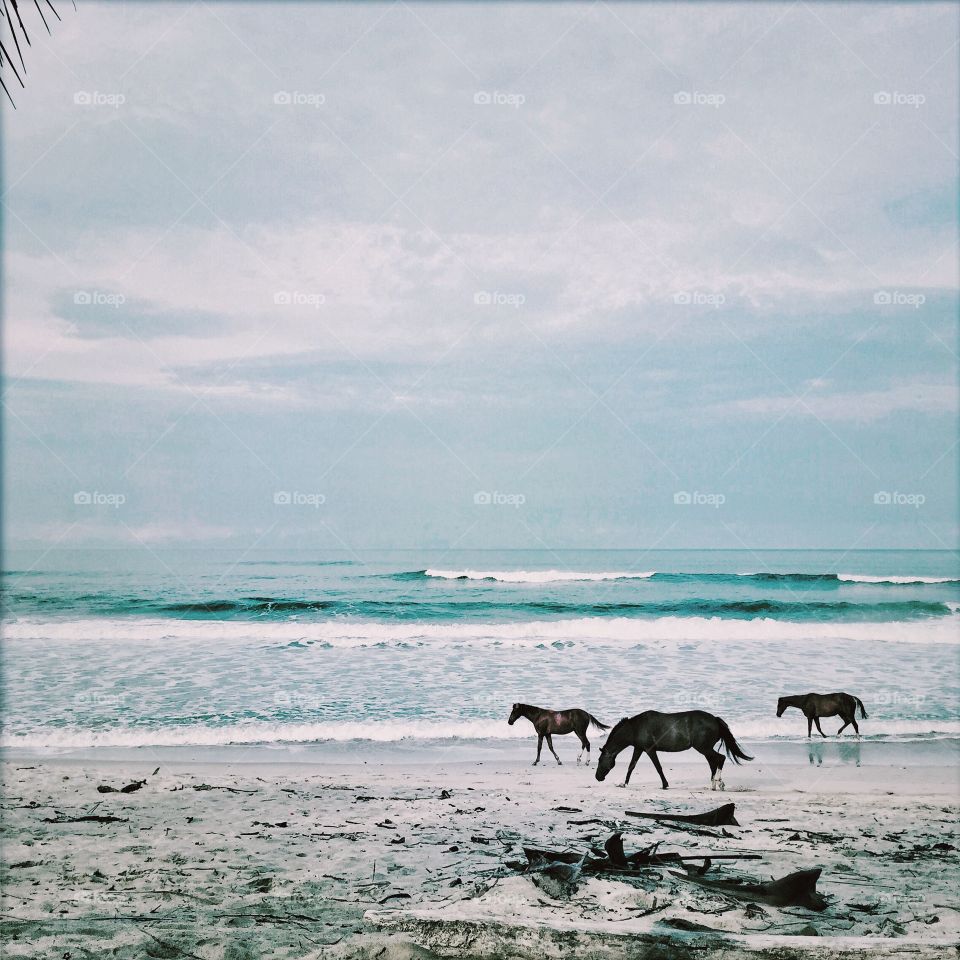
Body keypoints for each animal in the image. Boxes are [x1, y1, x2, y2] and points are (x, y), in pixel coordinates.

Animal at [596, 708, 752, 792]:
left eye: (599, 760)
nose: (597, 777)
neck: (636, 728)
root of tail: (715, 719)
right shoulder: (639, 748)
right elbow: (631, 766)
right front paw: (624, 783)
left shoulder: (650, 750)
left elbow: (658, 767)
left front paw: (665, 785)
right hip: (705, 749)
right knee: (713, 763)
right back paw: (714, 785)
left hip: (704, 748)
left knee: (720, 758)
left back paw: (719, 783)